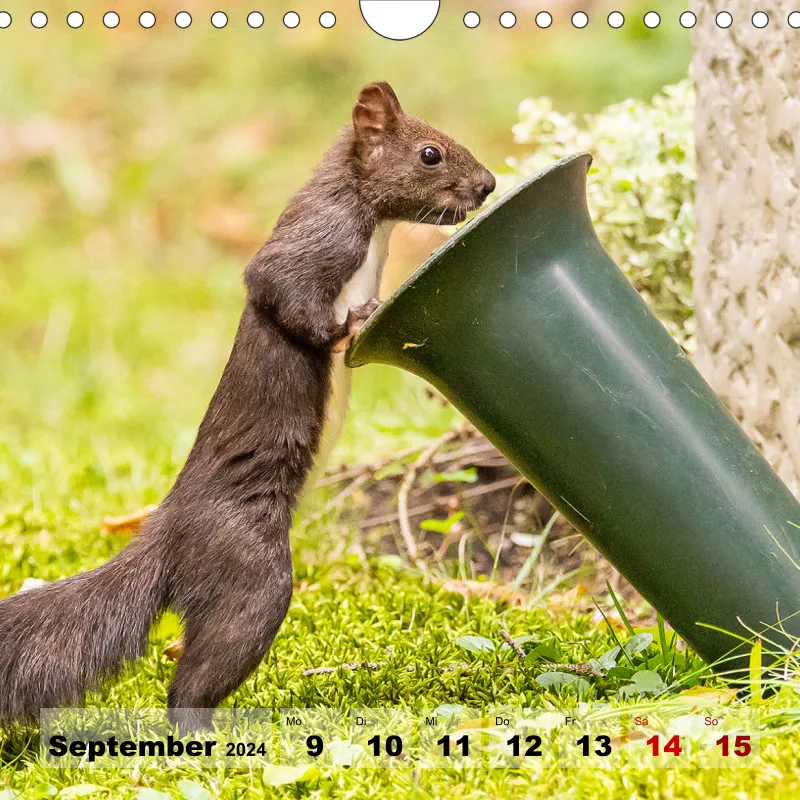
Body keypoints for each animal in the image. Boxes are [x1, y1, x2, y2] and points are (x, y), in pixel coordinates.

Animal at [0, 82, 495, 732]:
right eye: (430, 152)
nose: (488, 184)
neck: (376, 235)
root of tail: (168, 531)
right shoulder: (314, 239)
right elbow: (281, 291)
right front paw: (355, 320)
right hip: (251, 573)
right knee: (196, 677)